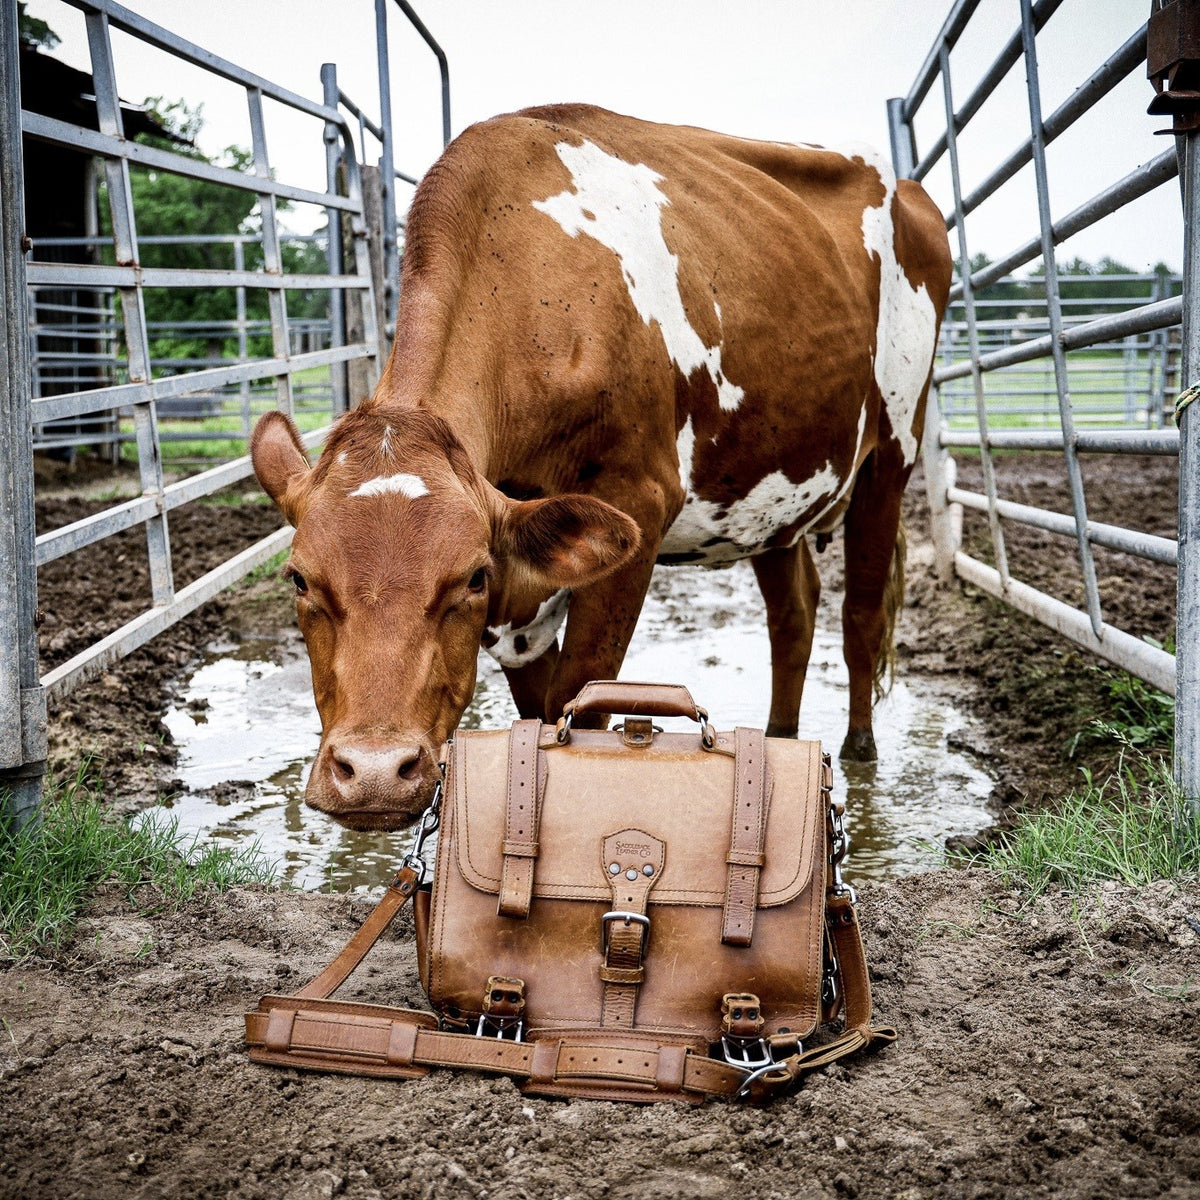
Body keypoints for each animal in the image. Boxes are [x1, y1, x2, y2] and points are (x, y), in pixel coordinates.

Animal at [250, 104, 952, 832]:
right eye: (299, 580)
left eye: (470, 578)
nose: (374, 773)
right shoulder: (522, 590)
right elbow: (540, 711)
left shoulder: (636, 504)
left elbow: (583, 698)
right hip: (773, 488)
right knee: (794, 614)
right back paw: (781, 739)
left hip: (893, 451)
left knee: (860, 614)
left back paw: (860, 750)